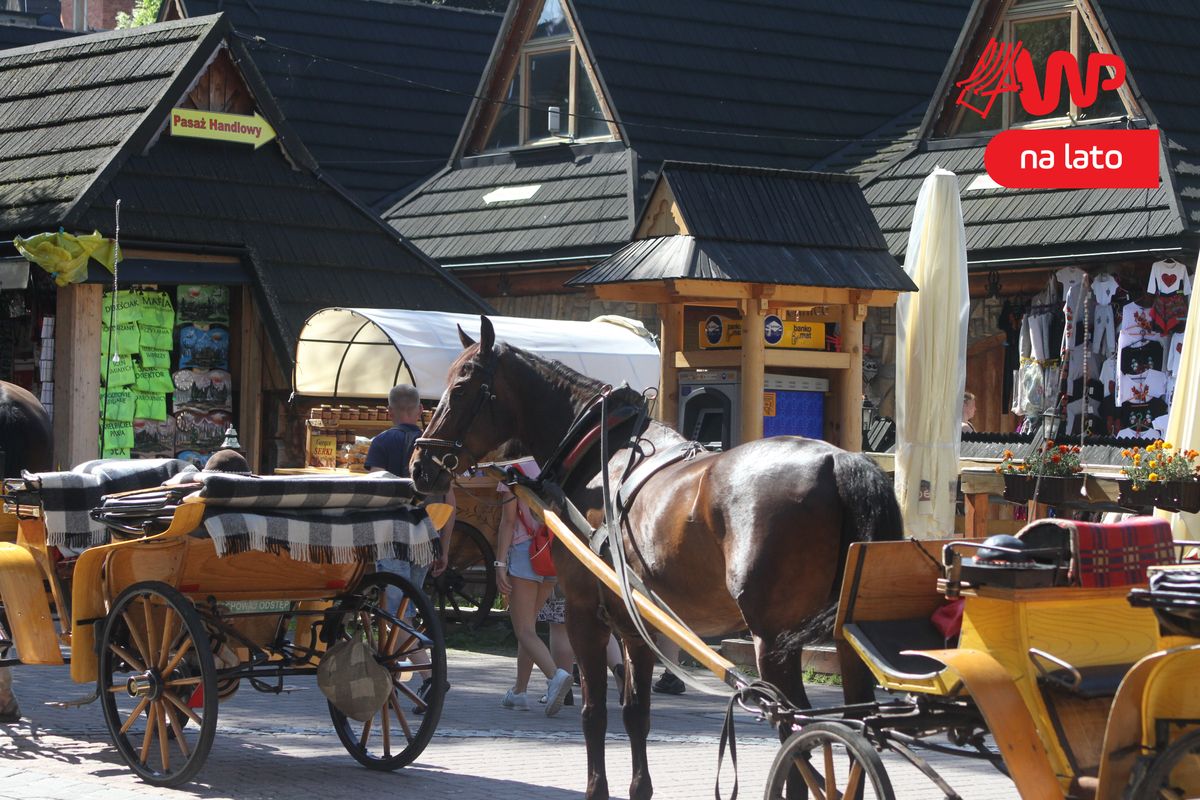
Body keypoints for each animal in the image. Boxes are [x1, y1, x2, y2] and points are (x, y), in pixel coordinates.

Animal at [412, 319, 902, 800]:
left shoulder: (584, 612)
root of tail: (837, 462)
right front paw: (639, 787)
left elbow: (595, 711)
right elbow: (635, 713)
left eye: (461, 388)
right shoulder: (636, 623)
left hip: (774, 644)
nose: (420, 464)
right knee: (853, 724)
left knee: (799, 734)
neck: (598, 454)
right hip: (846, 641)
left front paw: (596, 788)